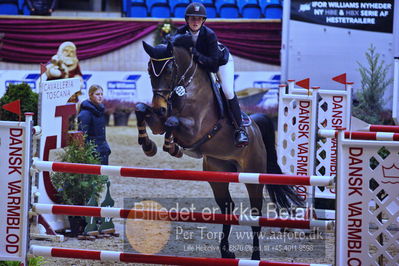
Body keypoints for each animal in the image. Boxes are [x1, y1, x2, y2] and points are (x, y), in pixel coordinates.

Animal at [136, 41, 302, 260]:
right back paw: (226, 251)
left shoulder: (194, 129)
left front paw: (172, 147)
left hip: (253, 175)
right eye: (149, 70)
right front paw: (148, 145)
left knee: (256, 215)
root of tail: (255, 127)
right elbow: (141, 110)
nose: (159, 107)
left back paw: (255, 257)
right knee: (227, 208)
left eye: (170, 70)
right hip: (217, 174)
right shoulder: (158, 121)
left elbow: (172, 121)